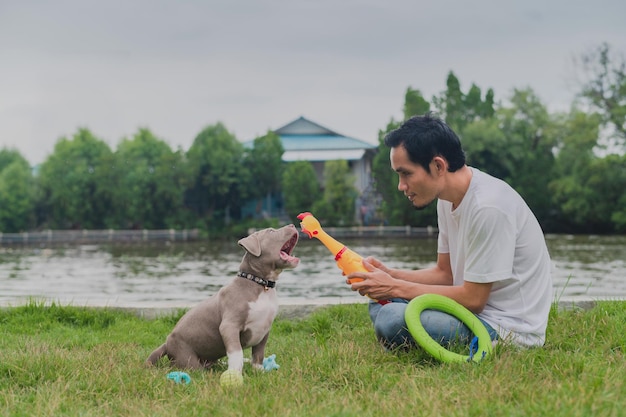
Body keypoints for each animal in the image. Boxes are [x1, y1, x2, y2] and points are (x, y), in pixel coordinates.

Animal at [149, 224, 300, 374]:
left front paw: (259, 371)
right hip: (187, 358)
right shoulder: (229, 325)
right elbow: (236, 352)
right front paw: (234, 373)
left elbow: (258, 353)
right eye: (271, 231)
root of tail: (167, 343)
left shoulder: (264, 329)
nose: (293, 225)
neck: (261, 284)